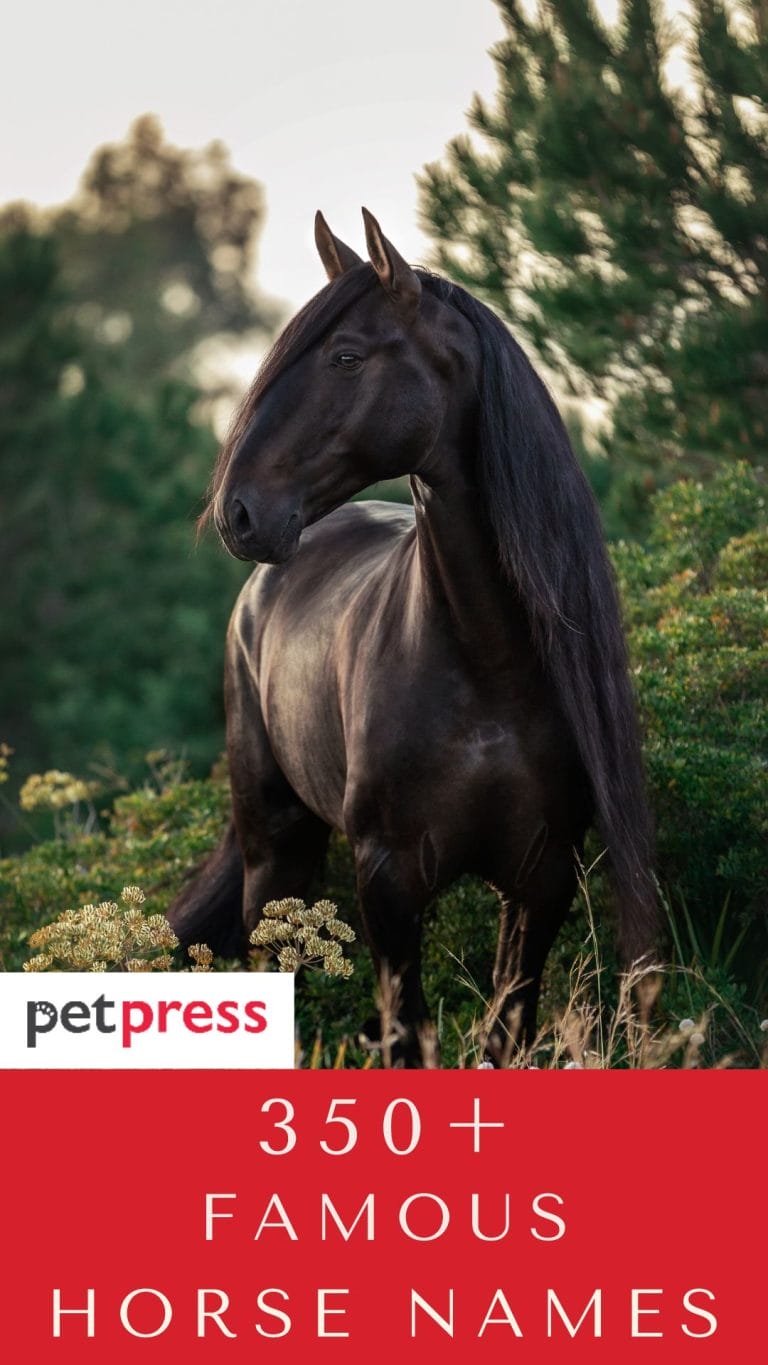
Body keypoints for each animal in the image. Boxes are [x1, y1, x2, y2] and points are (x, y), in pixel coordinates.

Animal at [169, 208, 657, 1062]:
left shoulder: (542, 877)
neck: (487, 664)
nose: (239, 512)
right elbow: (404, 1033)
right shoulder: (389, 879)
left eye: (346, 355)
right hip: (275, 850)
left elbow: (505, 1027)